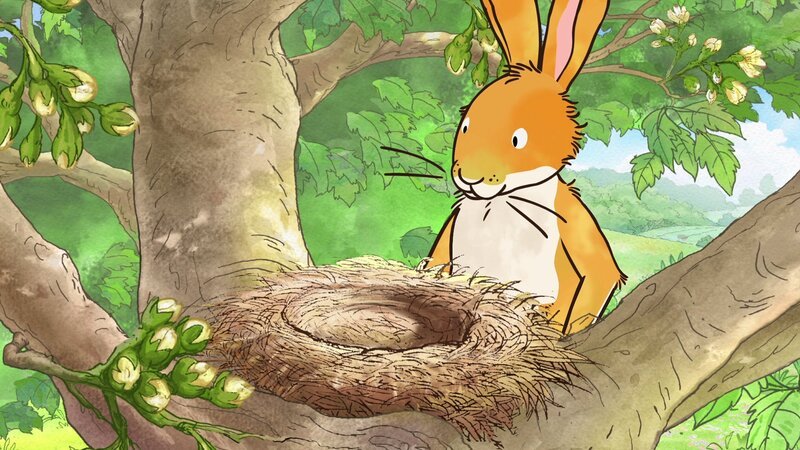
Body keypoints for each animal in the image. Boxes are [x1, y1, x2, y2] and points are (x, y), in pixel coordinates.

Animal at [427, 0, 626, 335]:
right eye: (465, 126)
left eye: (518, 140)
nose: (469, 178)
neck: (501, 199)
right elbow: (438, 257)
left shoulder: (573, 219)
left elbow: (600, 275)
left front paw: (559, 329)